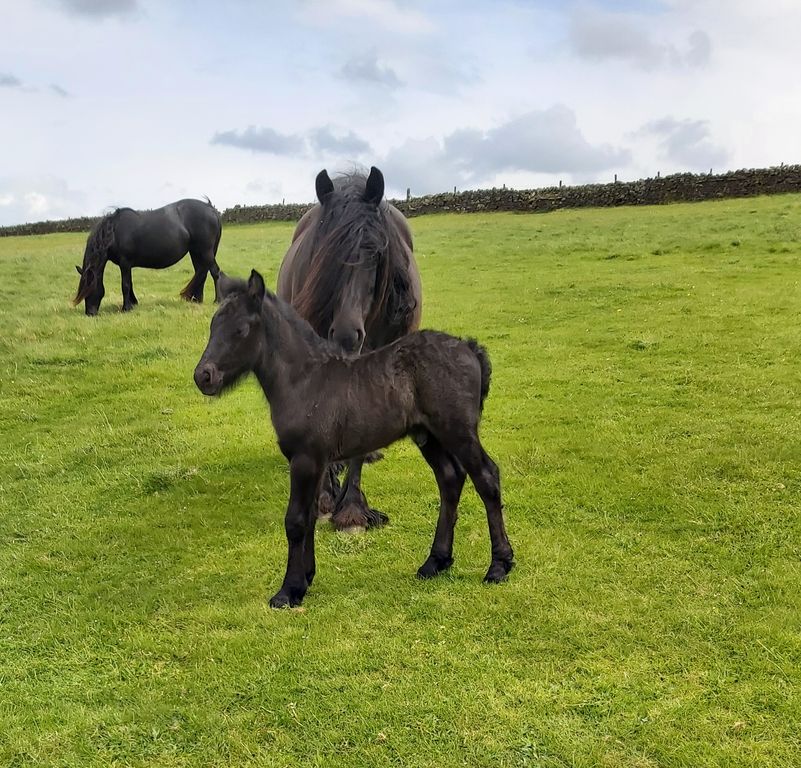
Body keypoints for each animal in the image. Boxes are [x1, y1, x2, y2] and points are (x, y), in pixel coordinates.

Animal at [73, 201, 222, 318]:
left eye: (89, 289)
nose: (90, 313)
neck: (114, 232)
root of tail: (210, 208)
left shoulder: (125, 263)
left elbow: (125, 285)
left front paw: (126, 308)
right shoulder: (127, 265)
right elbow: (130, 284)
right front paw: (133, 303)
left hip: (205, 251)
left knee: (214, 272)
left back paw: (217, 300)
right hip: (196, 252)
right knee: (201, 271)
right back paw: (196, 299)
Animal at [197, 272, 516, 608]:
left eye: (240, 330)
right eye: (213, 325)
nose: (203, 376)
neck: (305, 381)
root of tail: (470, 348)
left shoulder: (305, 459)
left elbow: (295, 520)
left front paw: (288, 591)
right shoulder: (318, 461)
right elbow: (310, 515)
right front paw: (305, 578)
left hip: (458, 431)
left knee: (486, 477)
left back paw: (499, 565)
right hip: (428, 436)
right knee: (450, 479)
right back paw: (435, 562)